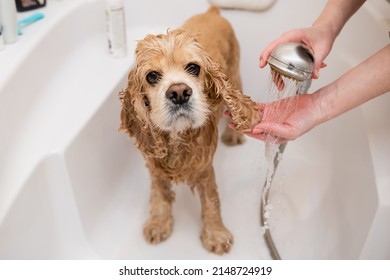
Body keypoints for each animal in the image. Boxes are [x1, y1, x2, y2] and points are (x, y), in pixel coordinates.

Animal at [119, 7, 258, 256]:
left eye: (193, 67)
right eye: (152, 76)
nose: (179, 92)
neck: (177, 136)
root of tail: (212, 11)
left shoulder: (204, 169)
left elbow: (211, 202)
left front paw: (216, 235)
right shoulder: (155, 166)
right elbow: (159, 194)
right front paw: (158, 223)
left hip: (234, 71)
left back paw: (233, 135)